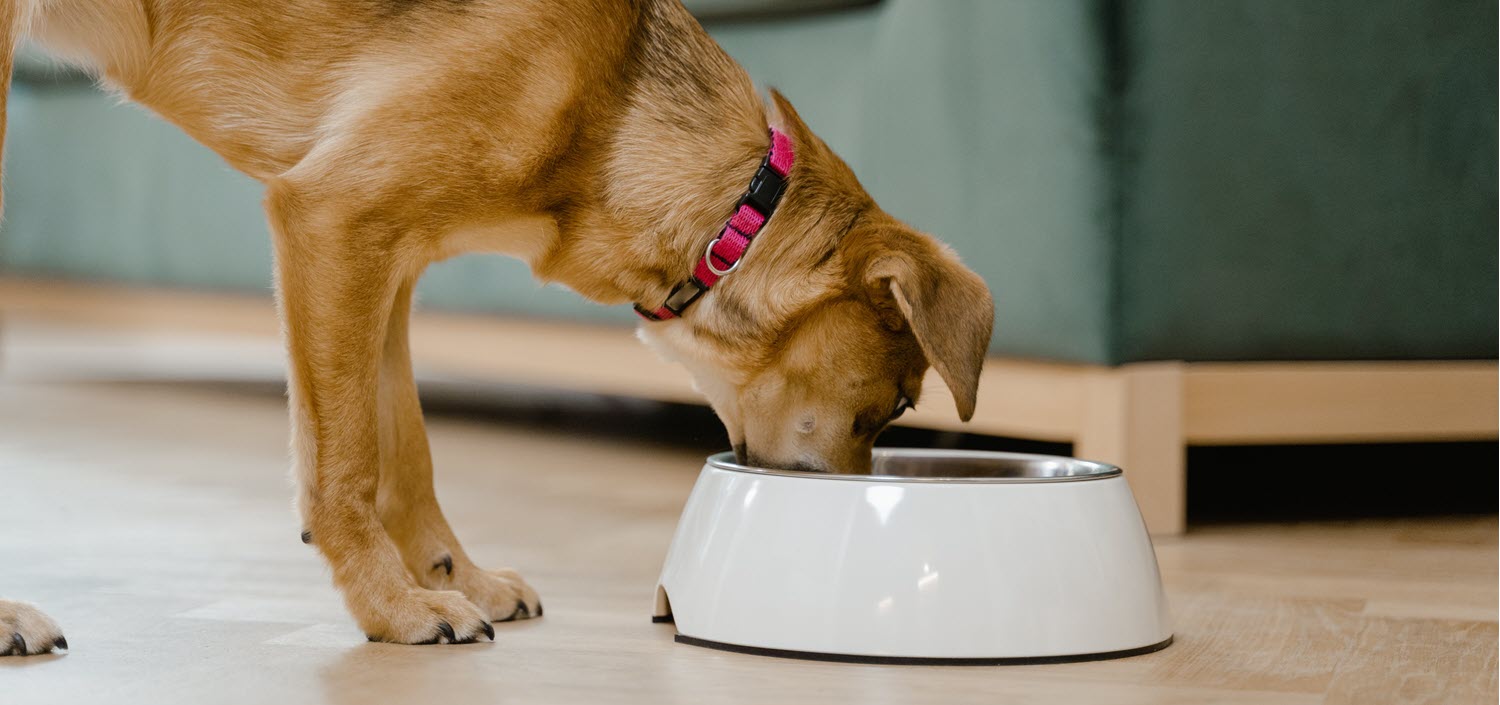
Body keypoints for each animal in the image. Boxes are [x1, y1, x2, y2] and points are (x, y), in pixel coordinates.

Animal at [2, 0, 996, 648]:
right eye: (896, 406)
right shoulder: (331, 219)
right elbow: (345, 462)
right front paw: (392, 609)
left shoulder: (385, 262)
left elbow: (403, 452)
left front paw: (452, 577)